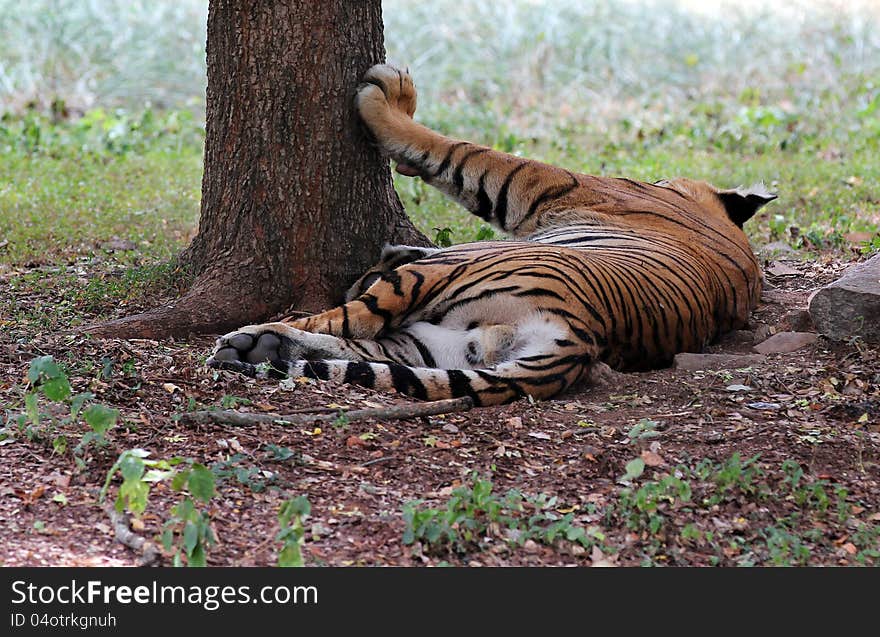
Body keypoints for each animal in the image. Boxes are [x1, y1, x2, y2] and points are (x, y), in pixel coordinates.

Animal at [208, 62, 776, 404]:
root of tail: (580, 337)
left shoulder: (547, 185)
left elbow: (460, 153)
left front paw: (389, 98)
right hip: (439, 346)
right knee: (363, 348)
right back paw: (258, 349)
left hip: (441, 277)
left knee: (347, 321)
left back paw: (250, 340)